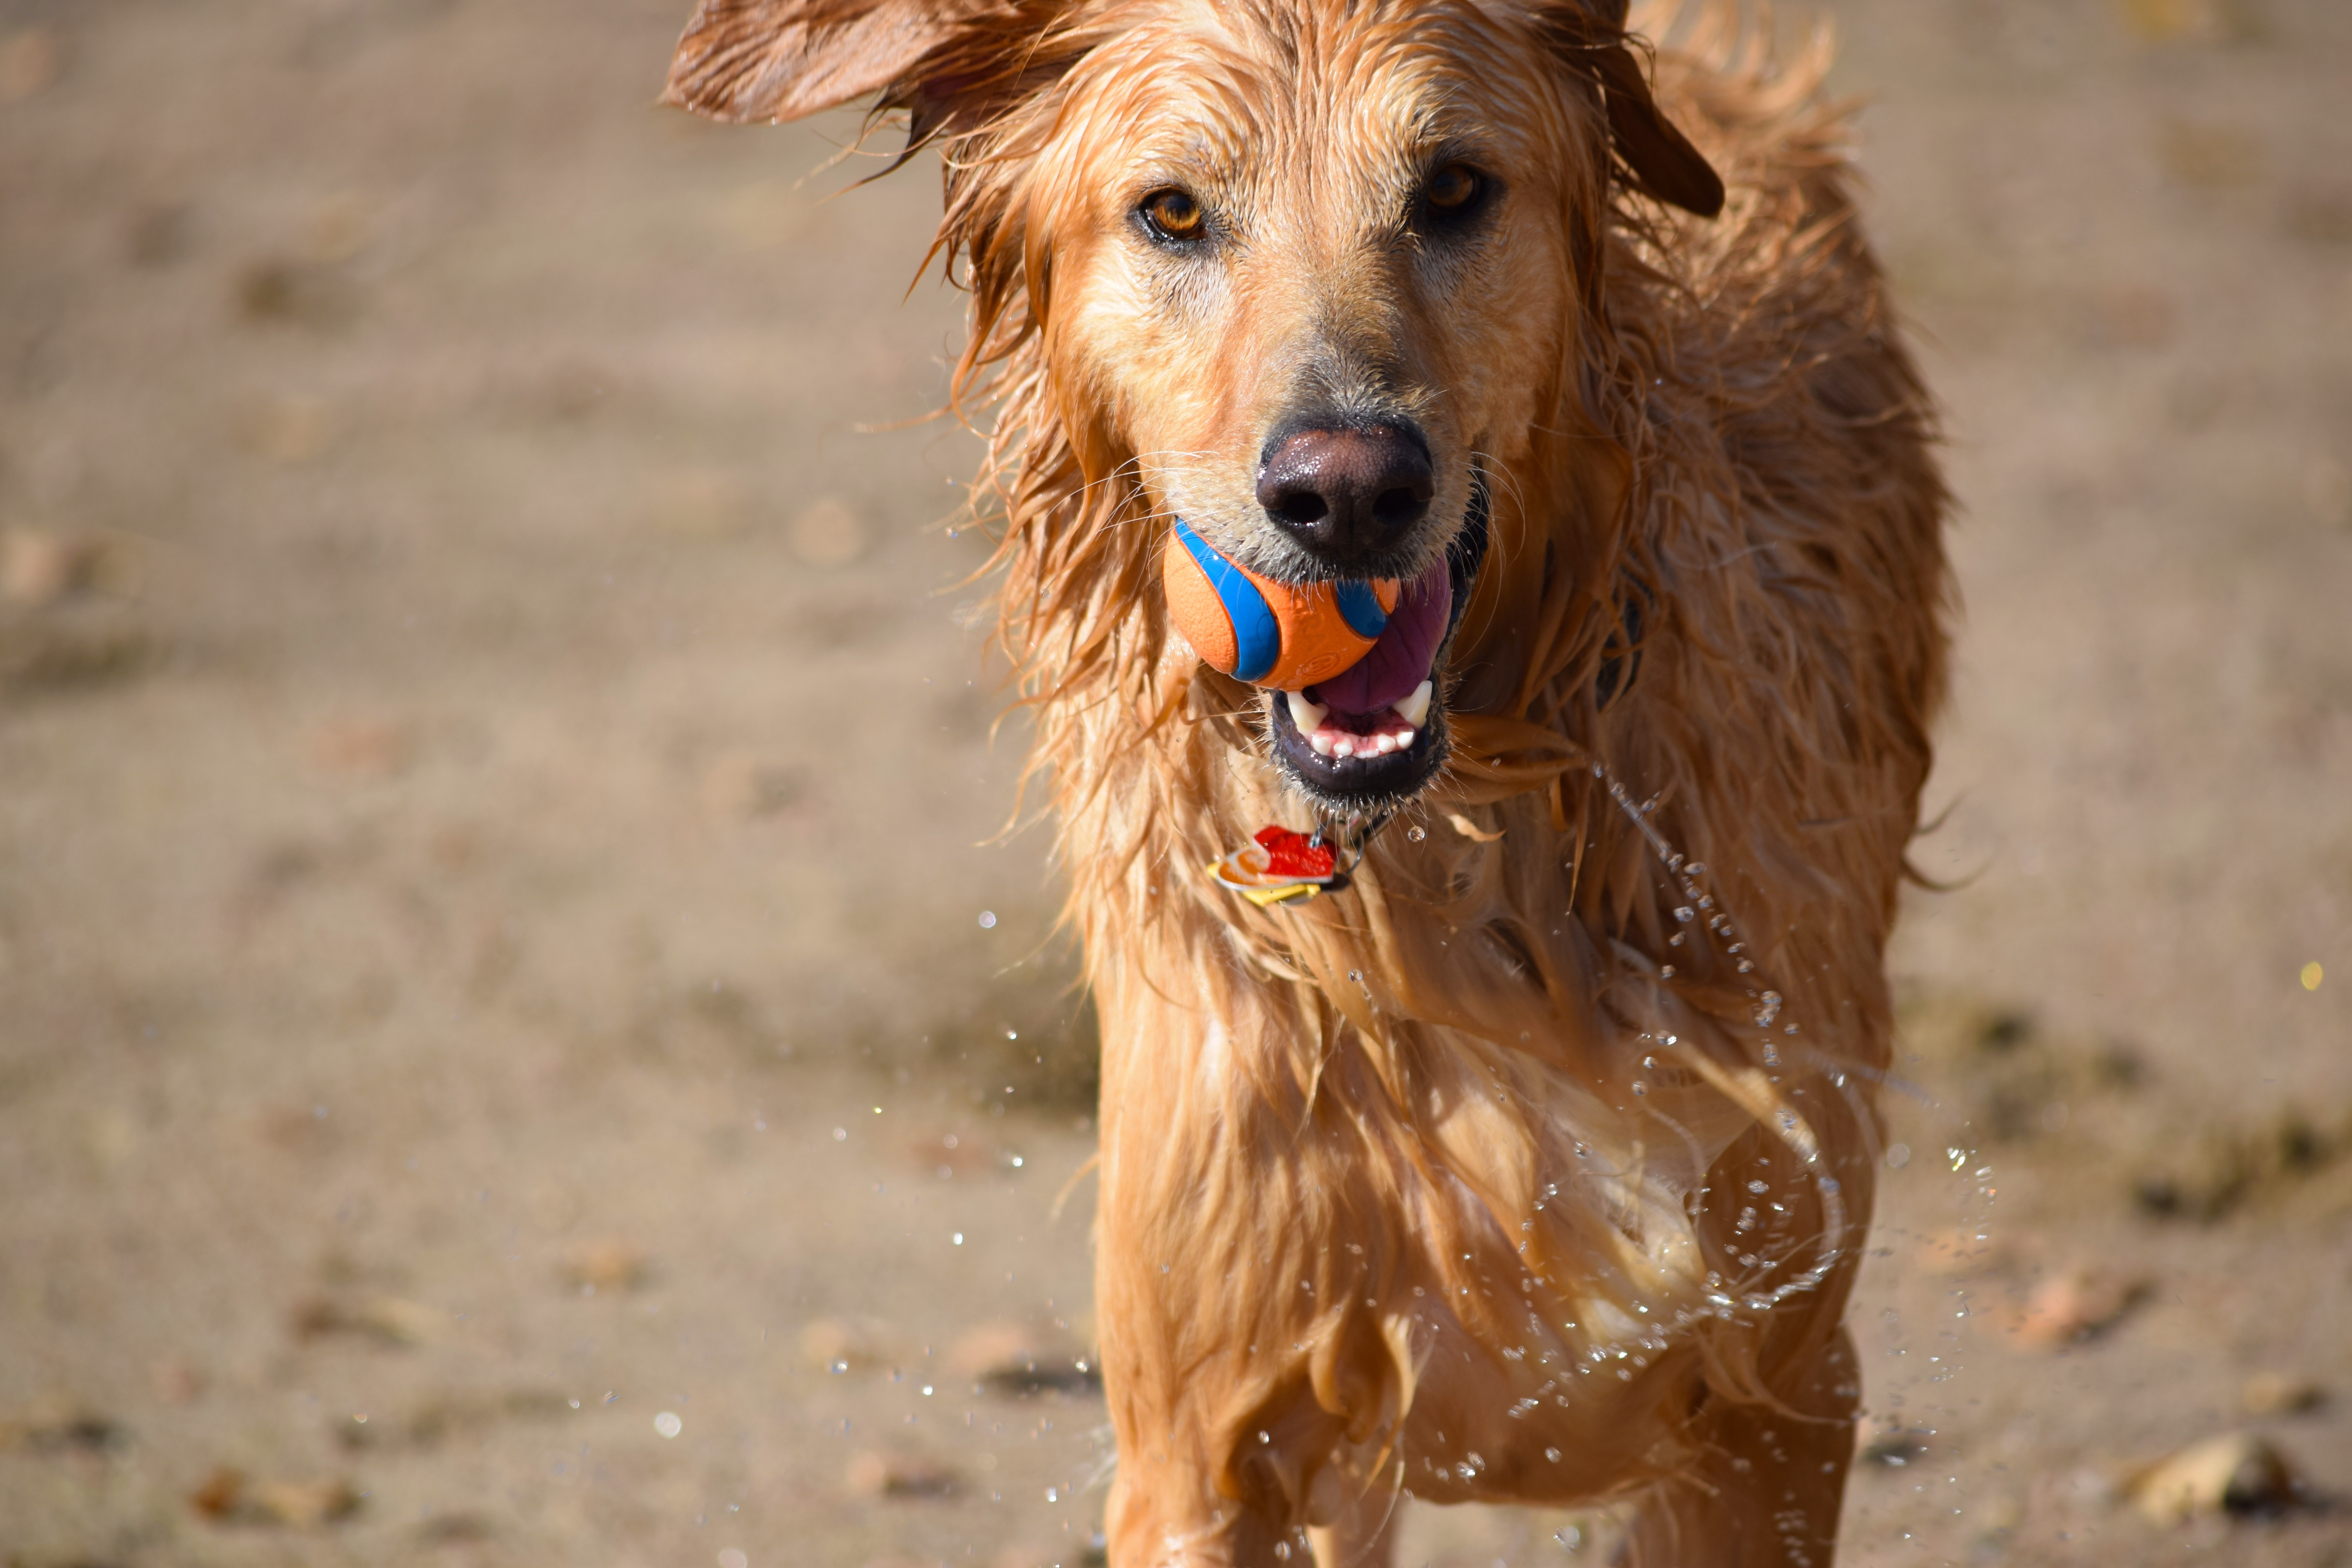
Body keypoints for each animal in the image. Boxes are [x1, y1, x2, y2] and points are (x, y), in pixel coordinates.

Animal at [668, 6, 1947, 1561]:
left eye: (1452, 187)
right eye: (1171, 212)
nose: (1345, 490)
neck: (1445, 873)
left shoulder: (1770, 1386)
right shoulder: (1211, 1432)